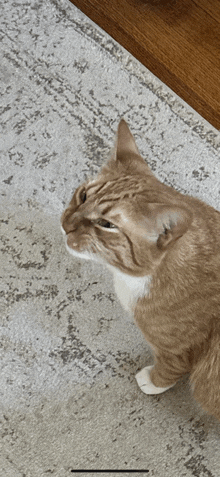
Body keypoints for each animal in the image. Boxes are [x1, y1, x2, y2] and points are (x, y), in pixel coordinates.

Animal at [61, 119, 220, 420]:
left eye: (106, 225)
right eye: (83, 195)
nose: (66, 224)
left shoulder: (178, 350)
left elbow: (171, 368)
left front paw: (152, 382)